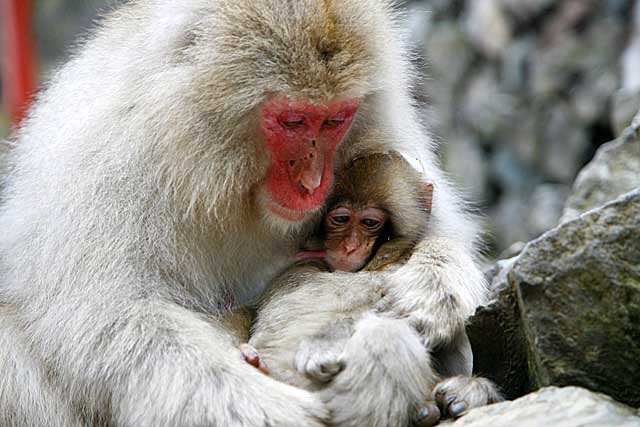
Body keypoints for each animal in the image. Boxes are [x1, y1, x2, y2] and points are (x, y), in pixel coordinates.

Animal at [0, 0, 496, 427]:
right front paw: (269, 408)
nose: (313, 183)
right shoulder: (107, 163)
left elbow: (435, 223)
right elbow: (109, 317)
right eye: (293, 121)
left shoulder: (379, 128)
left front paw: (434, 284)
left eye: (334, 121)